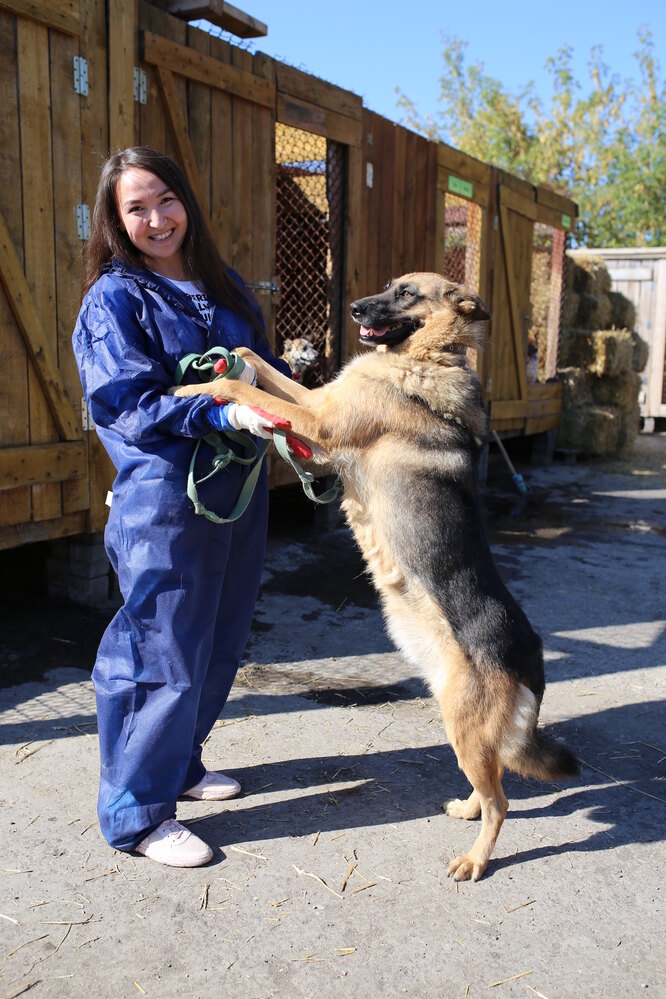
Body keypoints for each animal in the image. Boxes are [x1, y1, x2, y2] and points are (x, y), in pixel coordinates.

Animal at [172, 274, 576, 884]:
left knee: (503, 801)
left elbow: (251, 391)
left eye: (407, 293)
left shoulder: (318, 421)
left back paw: (475, 860)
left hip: (464, 729)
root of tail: (529, 653)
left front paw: (199, 387)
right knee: (493, 785)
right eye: (388, 287)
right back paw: (466, 808)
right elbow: (267, 373)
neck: (426, 356)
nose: (356, 308)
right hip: (464, 728)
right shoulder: (317, 404)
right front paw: (232, 354)